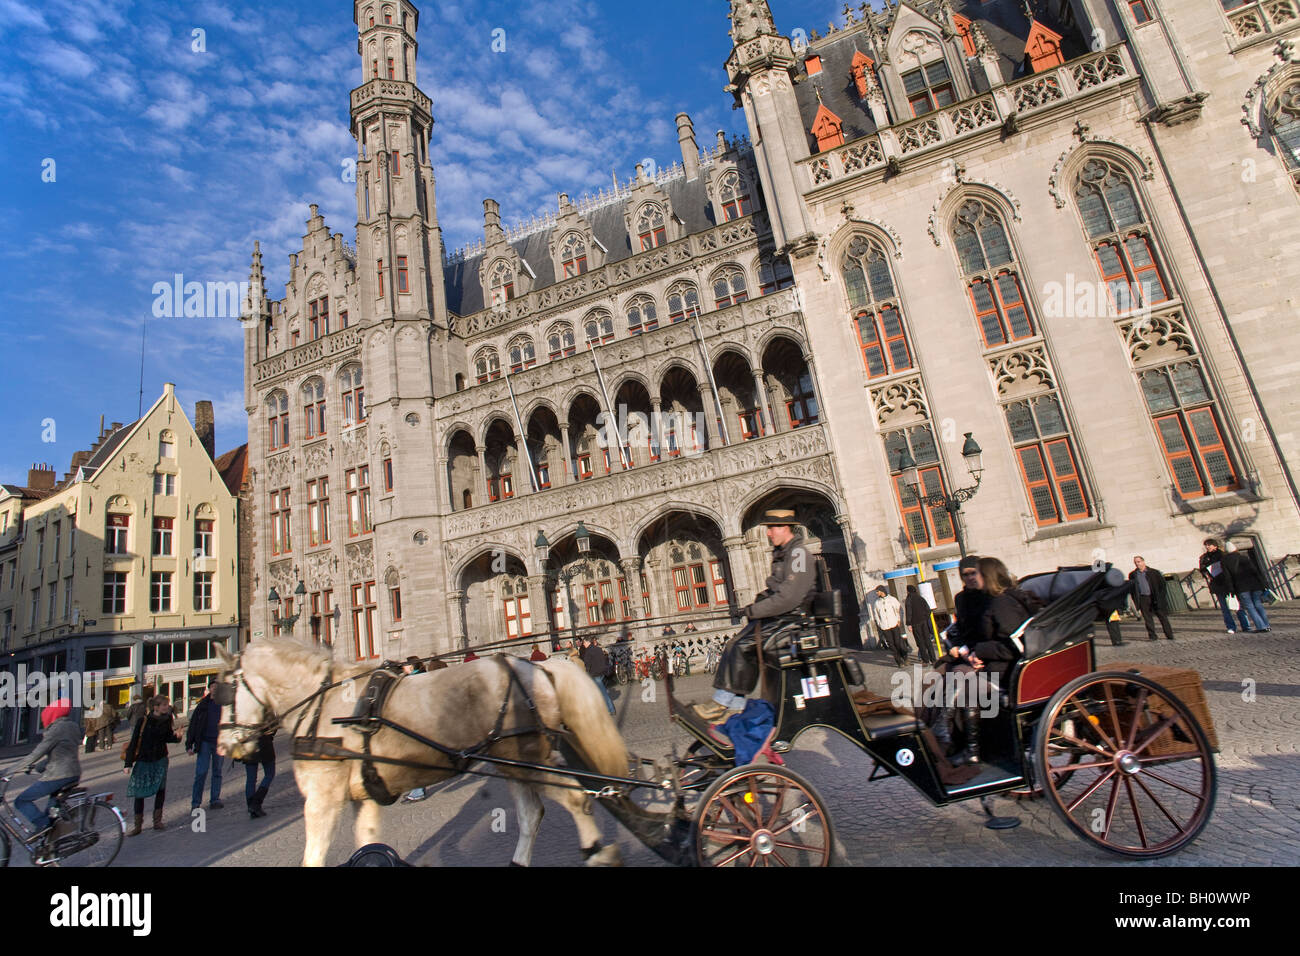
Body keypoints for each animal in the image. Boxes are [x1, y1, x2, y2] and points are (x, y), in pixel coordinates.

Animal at [214, 639, 629, 868]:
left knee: (577, 800)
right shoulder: (363, 797)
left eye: (221, 693)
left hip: (528, 759)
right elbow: (366, 844)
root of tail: (540, 668)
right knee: (532, 814)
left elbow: (313, 857)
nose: (222, 746)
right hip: (513, 763)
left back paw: (600, 854)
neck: (322, 704)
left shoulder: (321, 798)